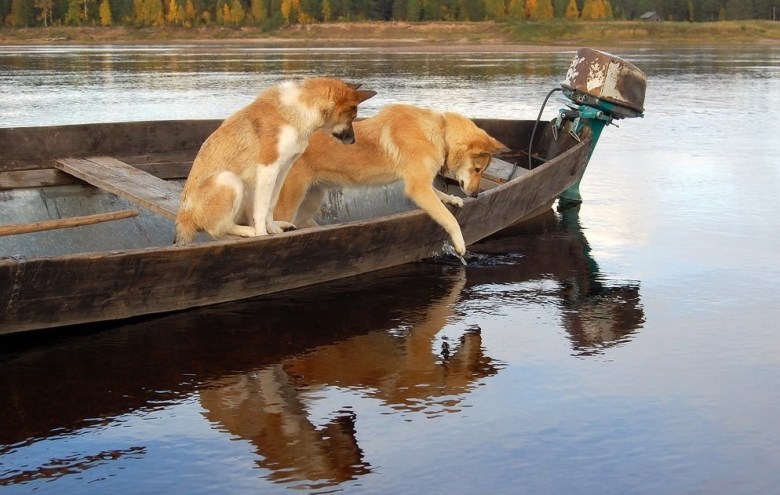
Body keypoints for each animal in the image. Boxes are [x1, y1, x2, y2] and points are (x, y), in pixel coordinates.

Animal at [175, 78, 376, 246]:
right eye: (352, 116)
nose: (353, 141)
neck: (298, 112)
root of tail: (184, 217)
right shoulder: (268, 169)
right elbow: (262, 209)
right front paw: (262, 235)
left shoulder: (282, 169)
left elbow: (271, 205)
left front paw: (272, 228)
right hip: (229, 180)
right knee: (217, 229)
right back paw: (248, 231)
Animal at [278, 104, 508, 256]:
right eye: (477, 169)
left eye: (483, 171)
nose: (476, 195)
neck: (441, 133)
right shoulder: (418, 187)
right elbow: (449, 219)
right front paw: (460, 243)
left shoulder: (419, 182)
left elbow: (438, 193)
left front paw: (451, 198)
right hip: (290, 202)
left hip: (311, 201)